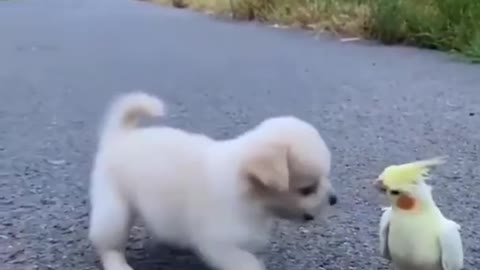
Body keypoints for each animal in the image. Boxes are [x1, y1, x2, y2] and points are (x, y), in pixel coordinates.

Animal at [90, 92, 338, 270]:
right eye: (307, 189)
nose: (334, 199)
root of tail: (120, 136)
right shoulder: (219, 244)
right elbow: (247, 263)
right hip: (115, 210)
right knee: (108, 244)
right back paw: (117, 264)